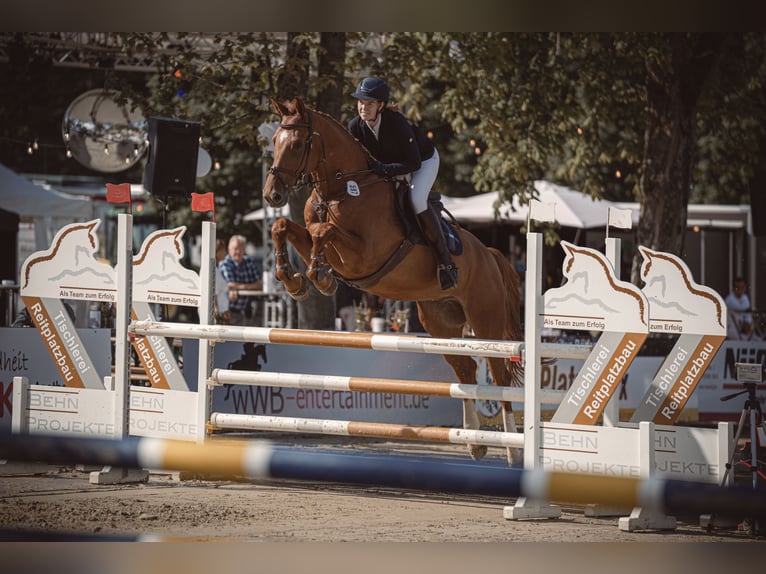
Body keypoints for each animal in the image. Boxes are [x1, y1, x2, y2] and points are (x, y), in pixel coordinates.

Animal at [260, 98, 524, 464]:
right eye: (274, 142)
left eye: (297, 144)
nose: (272, 195)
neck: (341, 189)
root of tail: (490, 254)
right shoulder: (319, 237)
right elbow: (283, 226)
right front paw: (294, 280)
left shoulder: (364, 254)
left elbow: (323, 232)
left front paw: (319, 277)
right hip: (440, 323)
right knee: (466, 369)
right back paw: (475, 443)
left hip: (486, 321)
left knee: (498, 376)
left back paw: (511, 451)